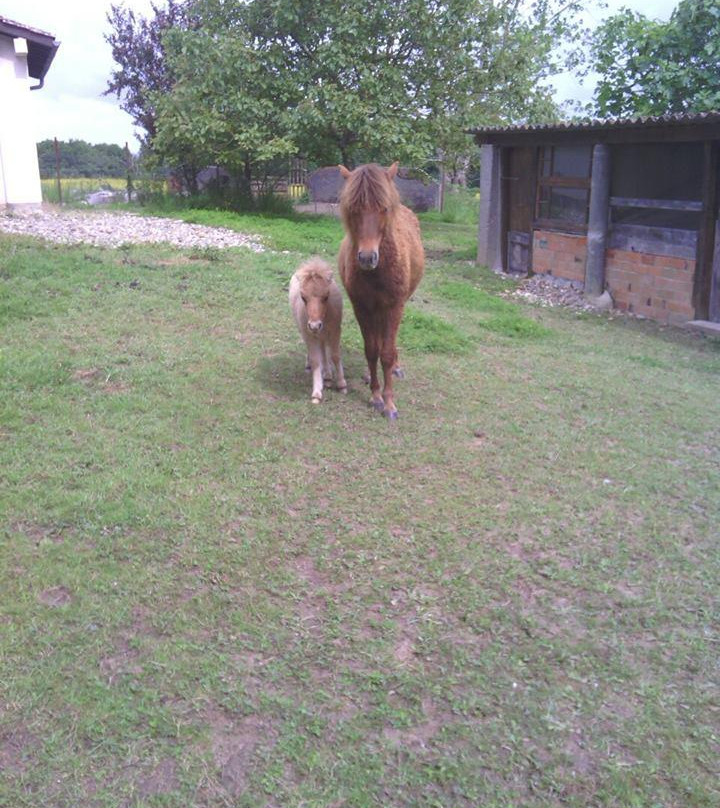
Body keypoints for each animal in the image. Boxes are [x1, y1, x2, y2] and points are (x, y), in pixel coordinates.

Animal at [288, 258, 348, 404]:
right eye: (303, 297)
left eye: (326, 296)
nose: (315, 325)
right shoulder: (309, 334)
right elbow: (316, 360)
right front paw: (316, 393)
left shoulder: (335, 330)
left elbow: (335, 355)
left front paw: (342, 385)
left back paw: (327, 376)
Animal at [336, 162, 422, 420]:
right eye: (353, 209)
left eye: (383, 208)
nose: (366, 258)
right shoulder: (362, 307)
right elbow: (372, 350)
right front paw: (375, 396)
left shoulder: (394, 307)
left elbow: (387, 353)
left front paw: (390, 403)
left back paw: (396, 369)